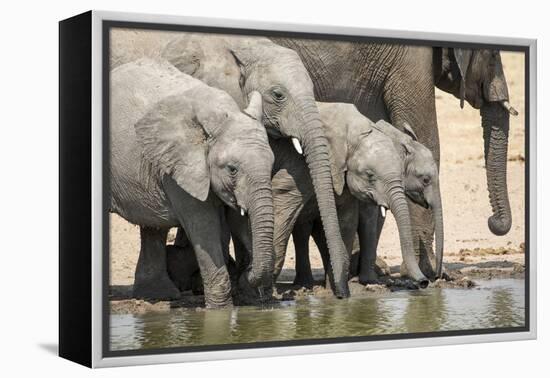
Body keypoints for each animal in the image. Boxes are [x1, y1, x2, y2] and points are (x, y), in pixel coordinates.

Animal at [111, 59, 276, 308]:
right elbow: (203, 224)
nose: (246, 271)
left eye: (272, 164)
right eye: (232, 169)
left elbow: (236, 220)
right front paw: (220, 310)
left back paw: (157, 296)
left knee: (153, 227)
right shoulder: (180, 167)